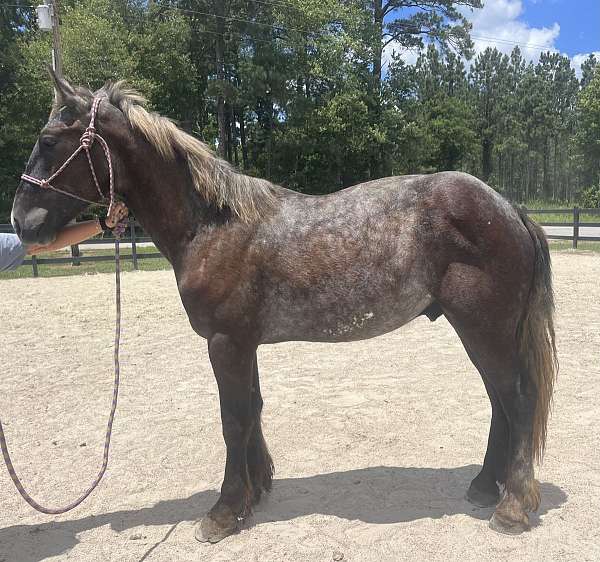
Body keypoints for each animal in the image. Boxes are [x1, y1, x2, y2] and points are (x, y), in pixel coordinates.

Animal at [11, 72, 556, 540]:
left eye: (49, 140)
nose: (21, 222)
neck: (211, 226)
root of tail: (508, 208)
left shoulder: (225, 343)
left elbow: (233, 419)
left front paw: (223, 511)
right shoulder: (242, 343)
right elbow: (251, 409)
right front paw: (254, 494)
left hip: (484, 328)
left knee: (519, 399)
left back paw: (511, 507)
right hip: (480, 331)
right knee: (500, 401)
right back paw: (485, 487)